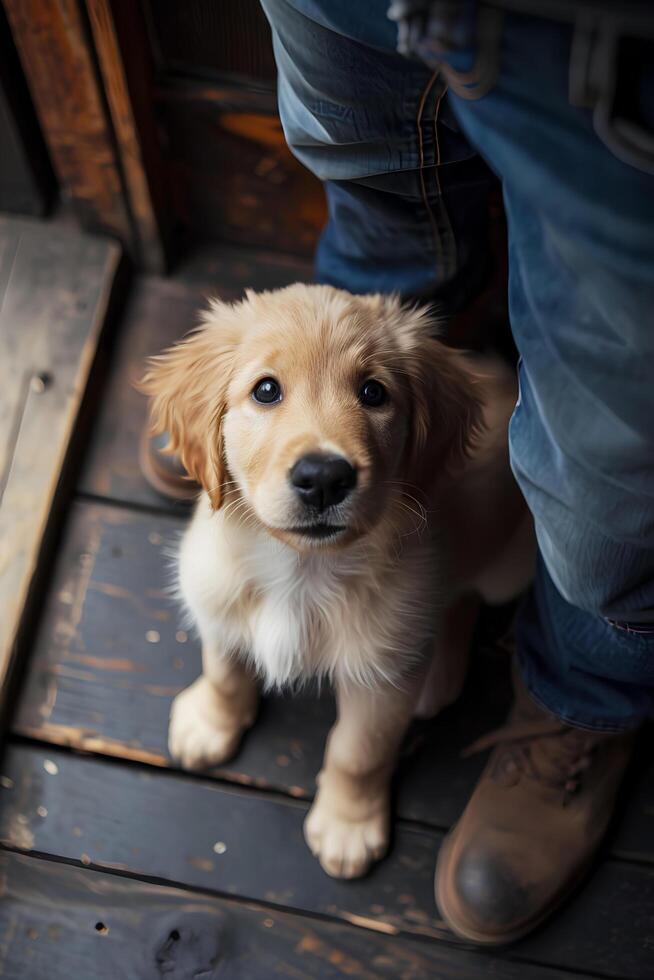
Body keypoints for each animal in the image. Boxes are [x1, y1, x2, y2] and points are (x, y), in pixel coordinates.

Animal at [141, 286, 536, 880]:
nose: (324, 477)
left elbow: (358, 752)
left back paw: (439, 675)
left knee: (462, 598)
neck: (298, 570)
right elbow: (224, 670)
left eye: (373, 392)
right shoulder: (215, 597)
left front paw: (348, 825)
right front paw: (210, 724)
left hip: (509, 568)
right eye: (266, 390)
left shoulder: (383, 677)